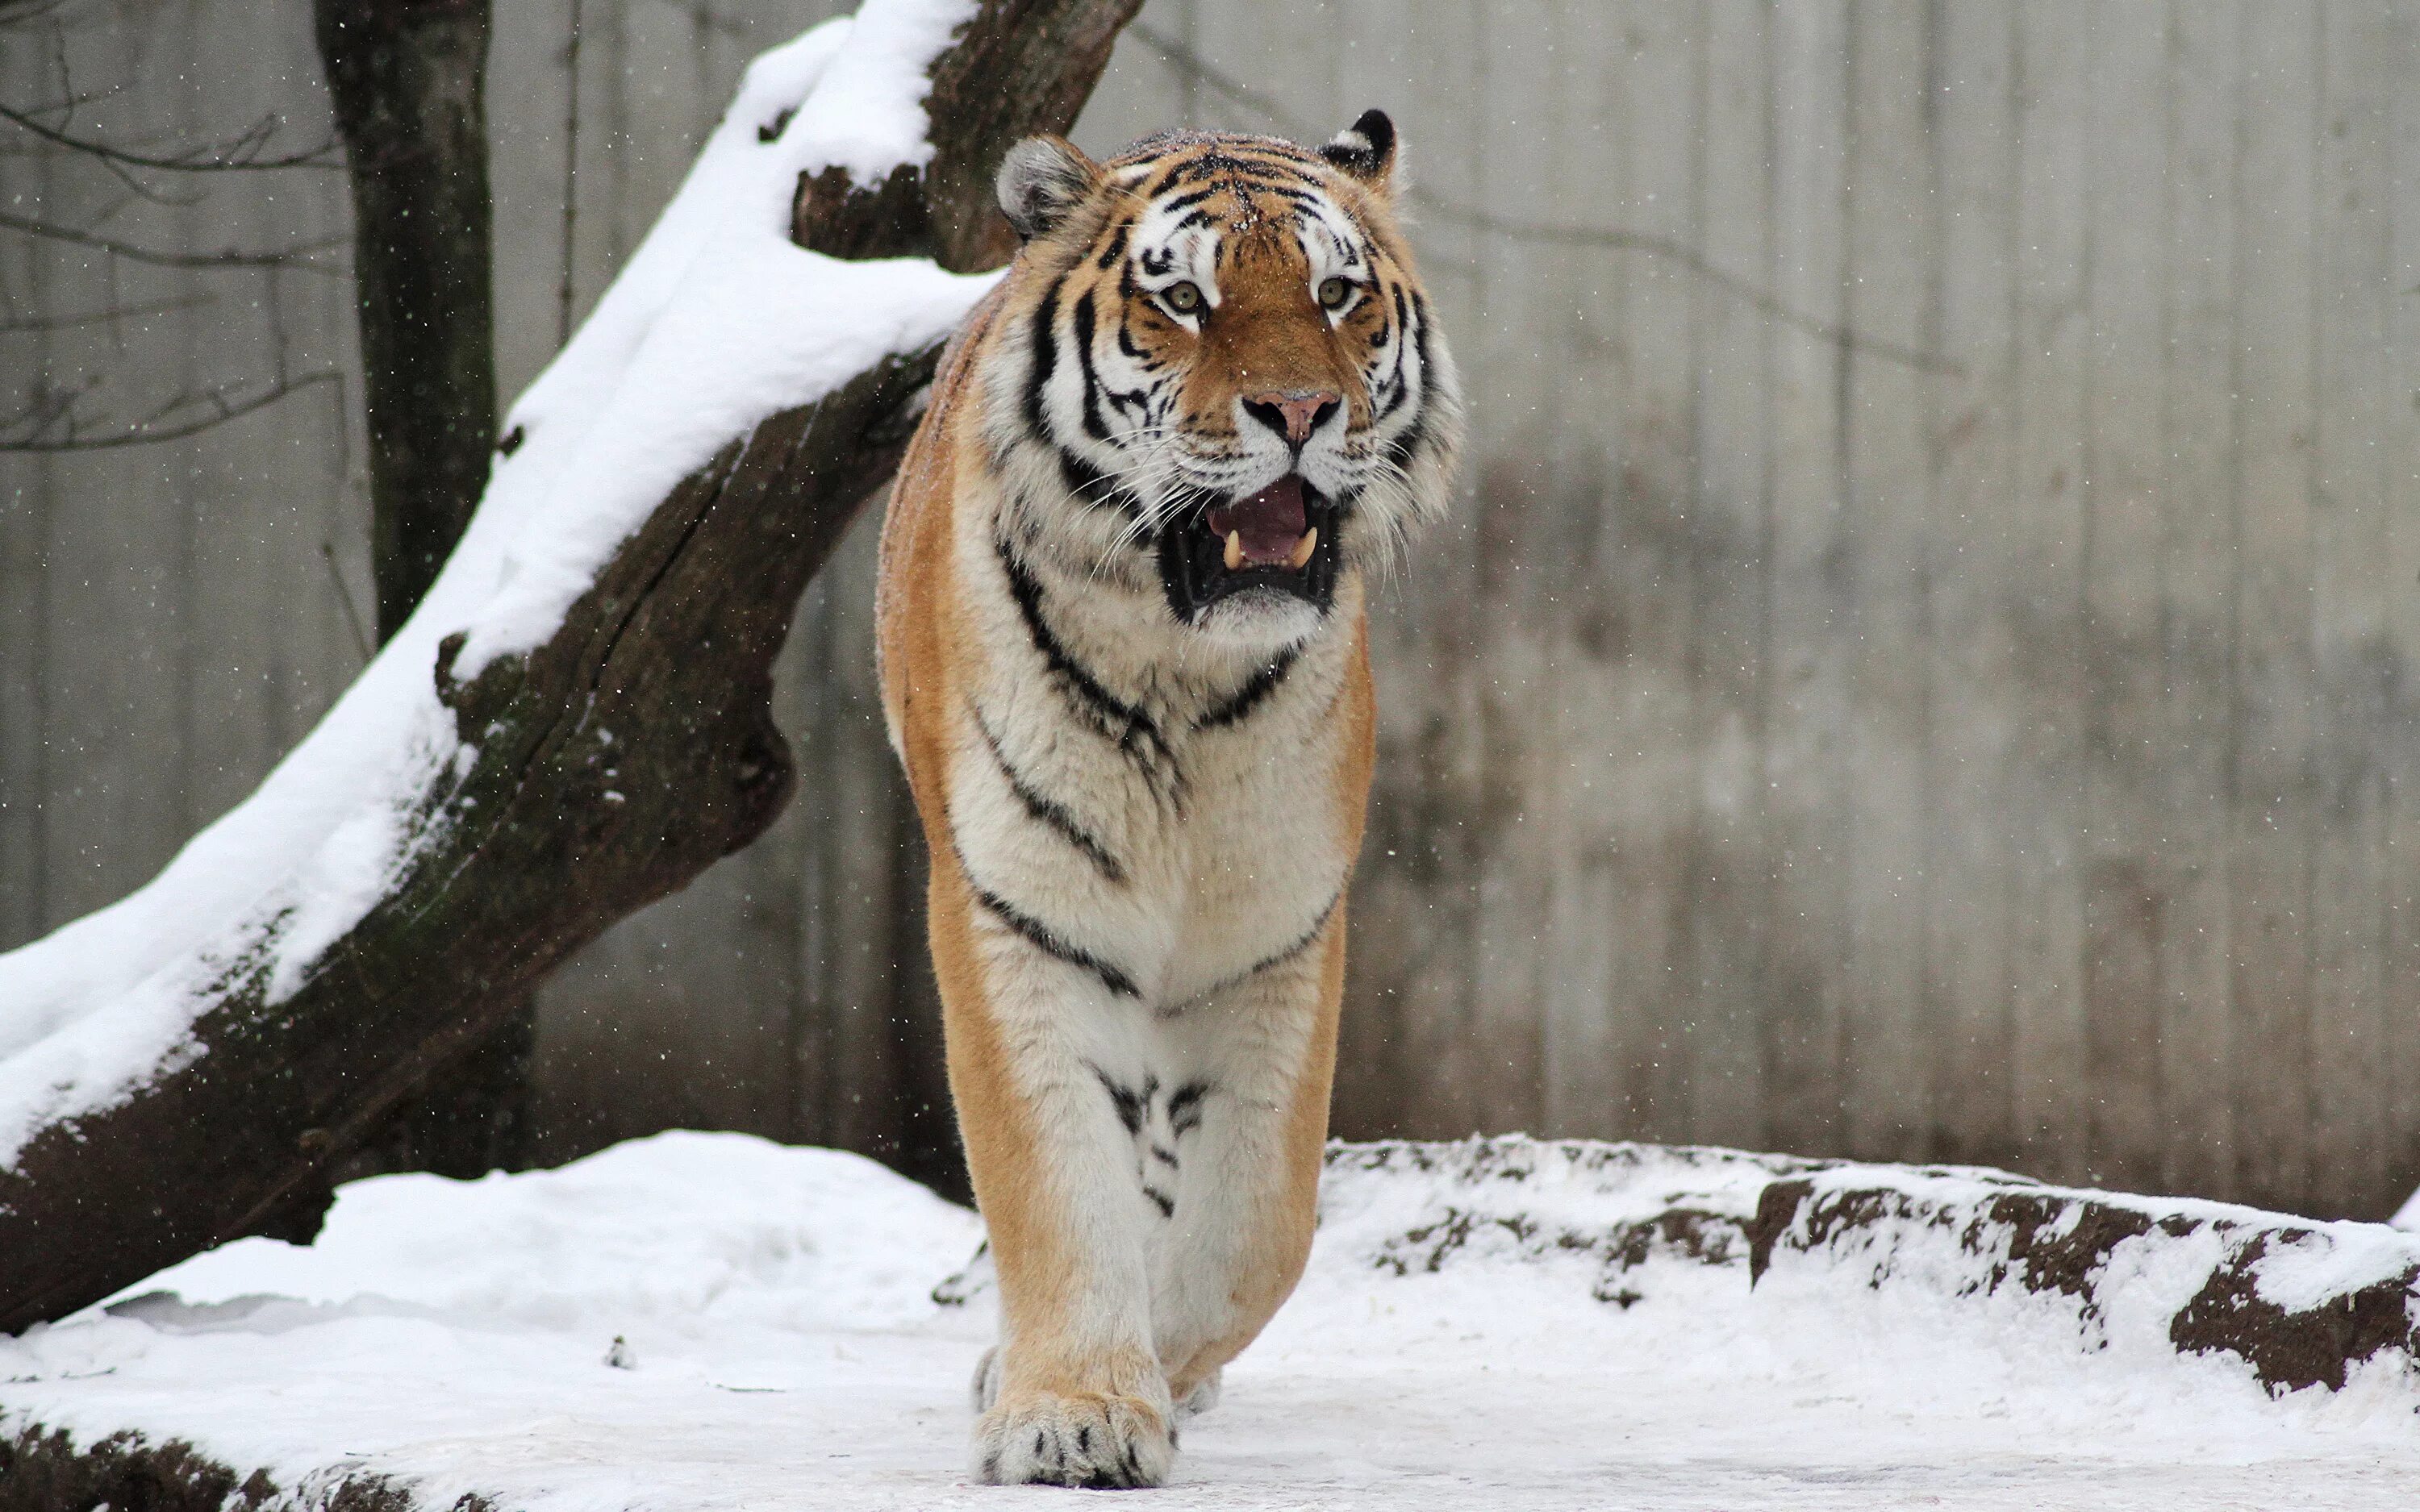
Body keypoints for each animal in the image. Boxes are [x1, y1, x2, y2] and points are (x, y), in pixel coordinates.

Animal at [881, 109, 1462, 1490]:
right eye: (1184, 300)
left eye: (1336, 293)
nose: (1300, 409)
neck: (1180, 676)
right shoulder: (1014, 916)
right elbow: (1053, 1180)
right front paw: (1073, 1410)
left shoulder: (1280, 936)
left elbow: (1258, 1223)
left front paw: (1153, 1364)